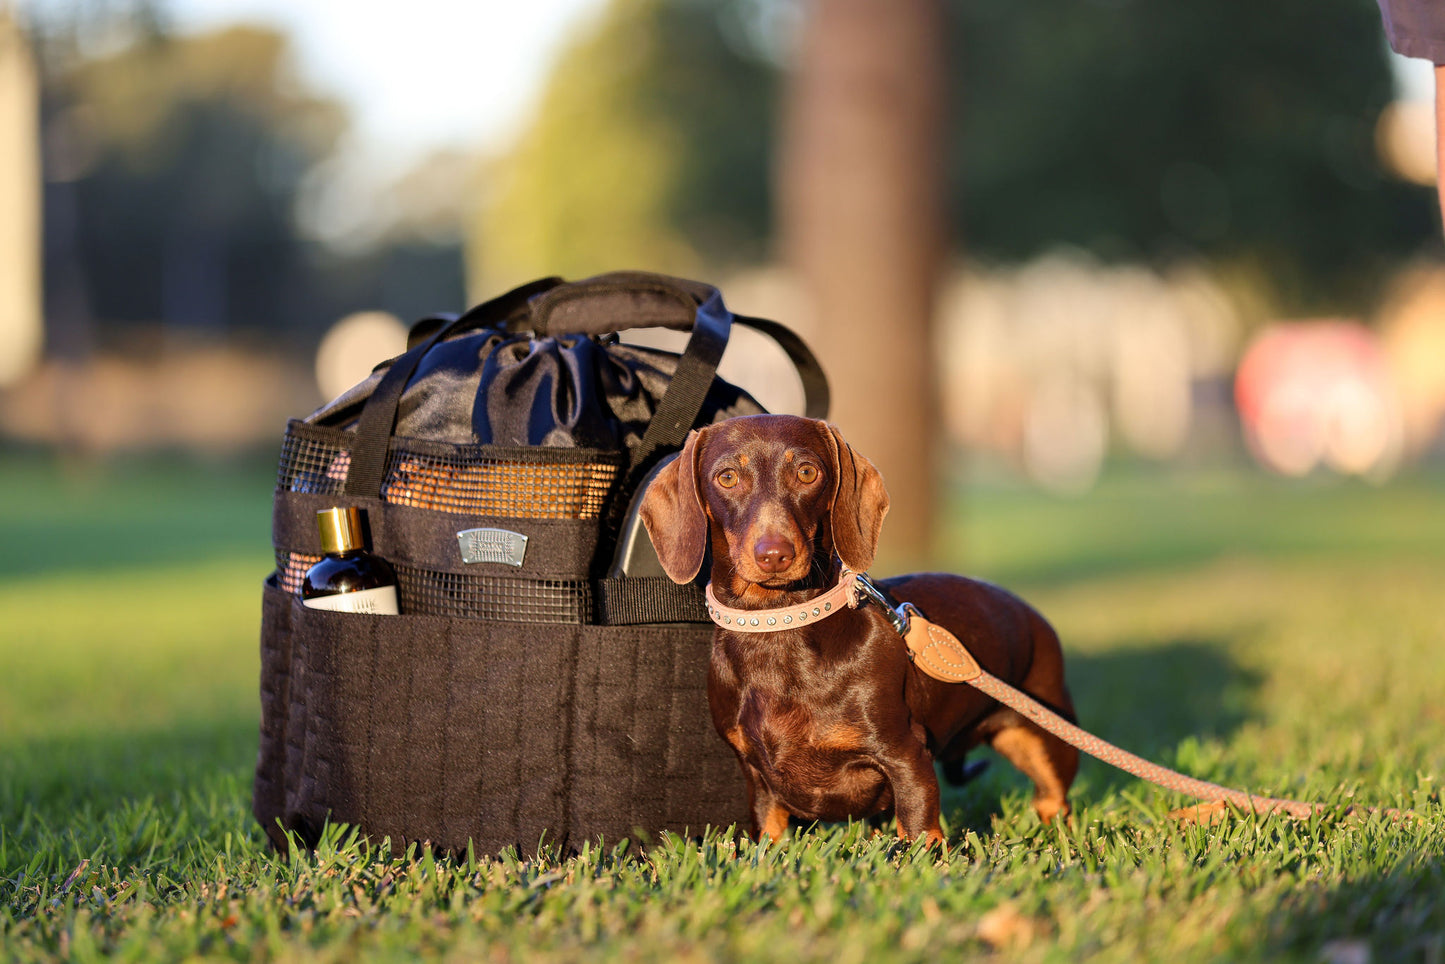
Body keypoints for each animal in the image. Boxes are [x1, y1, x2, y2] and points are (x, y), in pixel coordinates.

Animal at [641, 416, 1075, 844]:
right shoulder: (758, 781)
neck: (778, 626)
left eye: (807, 472)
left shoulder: (906, 756)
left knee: (1054, 799)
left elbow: (918, 834)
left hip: (1045, 738)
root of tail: (1032, 614)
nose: (774, 555)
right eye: (727, 477)